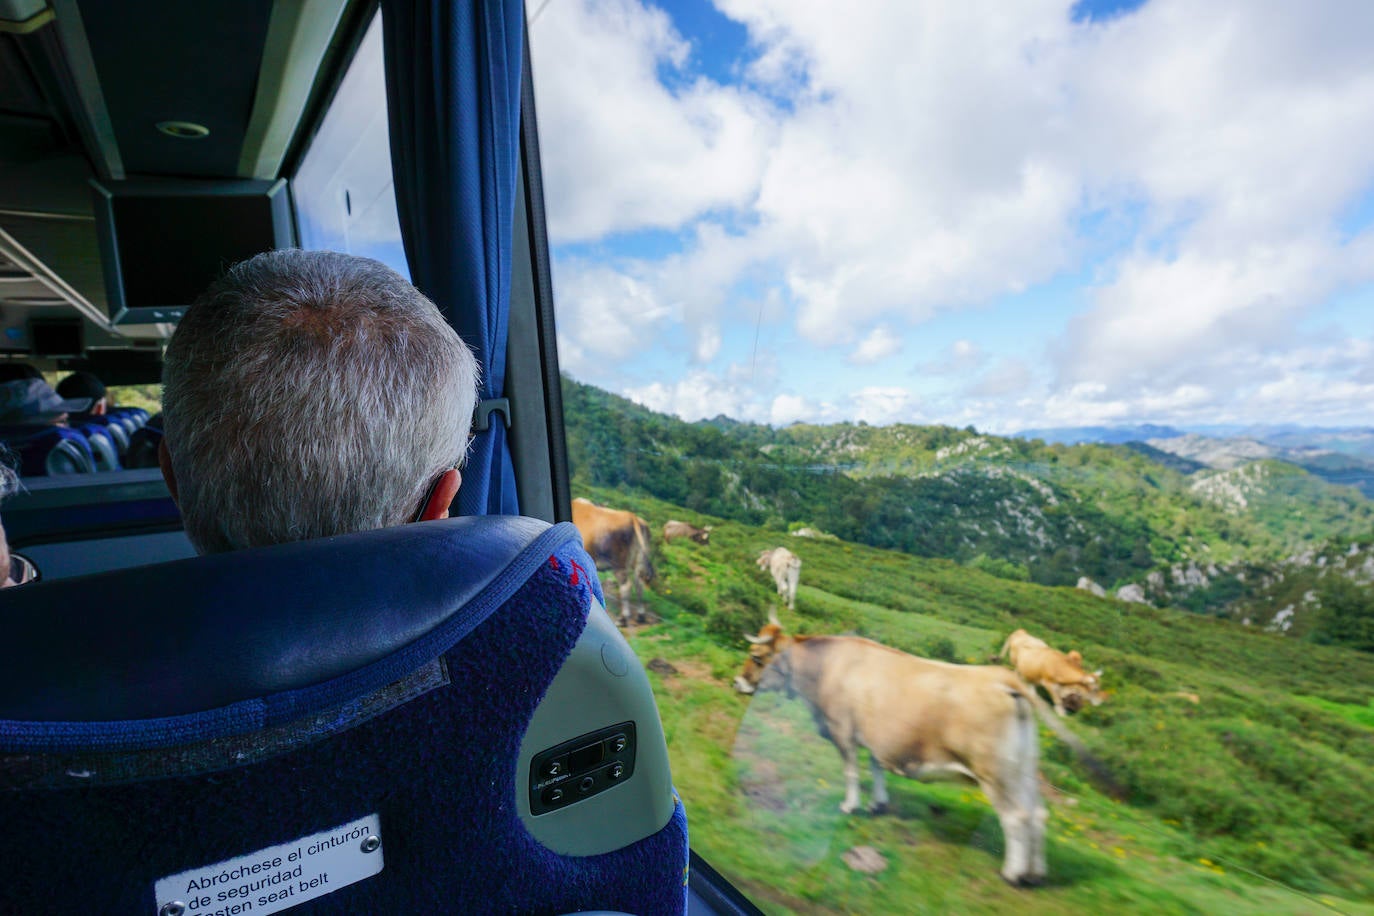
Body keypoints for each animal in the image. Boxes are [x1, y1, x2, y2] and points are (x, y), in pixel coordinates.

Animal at [568, 497, 654, 626]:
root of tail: (632, 517)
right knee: (639, 585)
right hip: (639, 562)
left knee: (626, 586)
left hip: (619, 565)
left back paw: (623, 618)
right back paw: (640, 616)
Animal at [730, 612, 1104, 884]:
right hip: (1021, 770)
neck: (825, 668)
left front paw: (850, 806)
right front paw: (878, 803)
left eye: (757, 656)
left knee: (1016, 818)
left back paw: (1013, 874)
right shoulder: (876, 735)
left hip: (994, 774)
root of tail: (1004, 678)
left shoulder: (842, 730)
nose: (738, 682)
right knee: (1038, 814)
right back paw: (1035, 873)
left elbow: (851, 770)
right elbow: (876, 766)